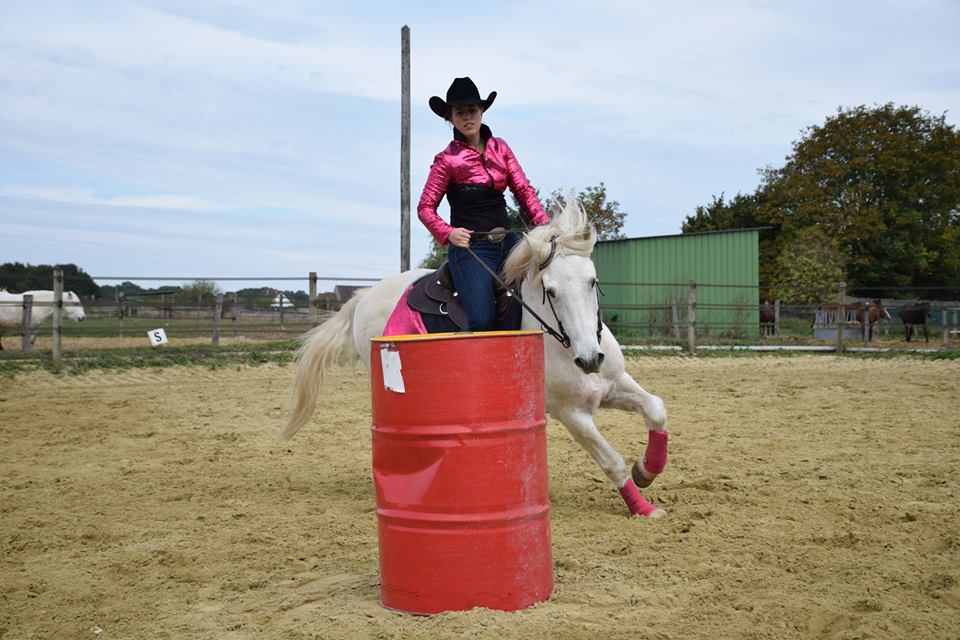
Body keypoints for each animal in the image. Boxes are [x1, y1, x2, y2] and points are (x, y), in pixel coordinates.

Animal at [282, 198, 672, 516]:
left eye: (592, 281)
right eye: (550, 291)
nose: (590, 360)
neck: (565, 344)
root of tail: (365, 295)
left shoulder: (612, 385)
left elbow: (656, 409)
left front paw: (646, 470)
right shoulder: (570, 413)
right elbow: (612, 461)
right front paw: (644, 507)